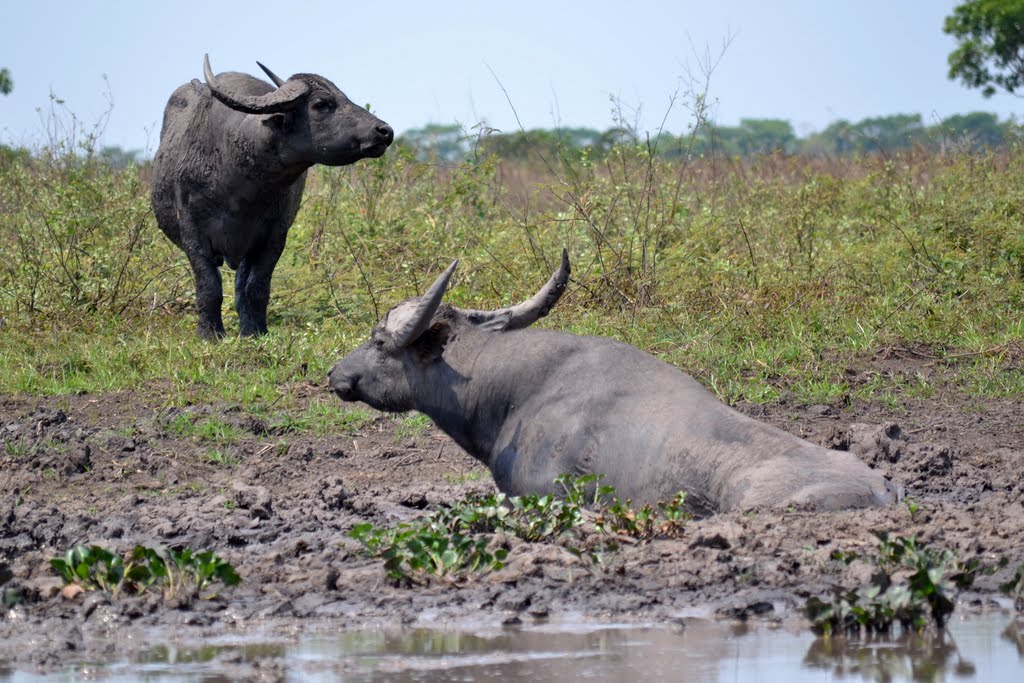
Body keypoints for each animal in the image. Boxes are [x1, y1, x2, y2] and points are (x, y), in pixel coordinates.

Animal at [150, 55, 391, 339]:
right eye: (321, 104)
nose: (384, 131)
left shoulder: (274, 237)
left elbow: (256, 288)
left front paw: (255, 332)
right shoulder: (193, 233)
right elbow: (209, 286)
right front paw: (210, 334)